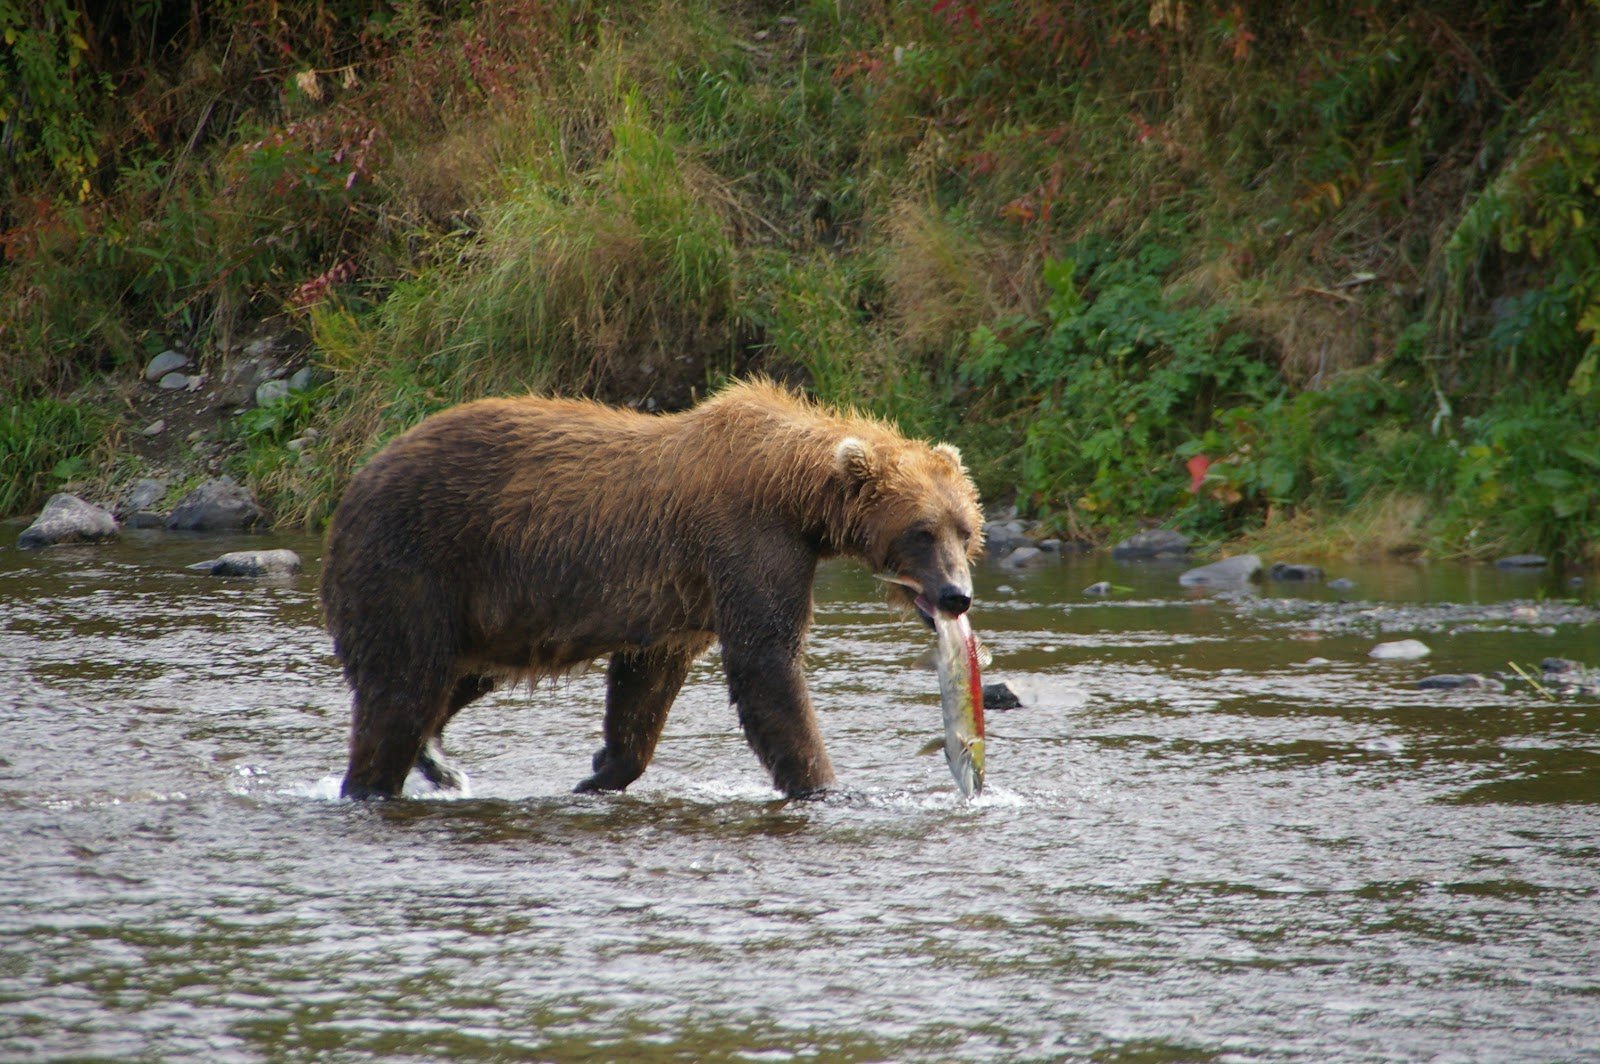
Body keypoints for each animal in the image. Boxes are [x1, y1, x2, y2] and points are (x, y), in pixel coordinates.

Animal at [320, 379, 983, 800]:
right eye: (921, 532)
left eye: (966, 528)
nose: (956, 595)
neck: (795, 498)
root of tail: (355, 480)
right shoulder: (748, 542)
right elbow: (768, 663)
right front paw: (825, 785)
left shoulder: (680, 599)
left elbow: (645, 685)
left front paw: (599, 771)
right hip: (414, 562)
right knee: (403, 683)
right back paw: (374, 783)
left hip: (488, 610)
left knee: (456, 675)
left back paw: (436, 760)